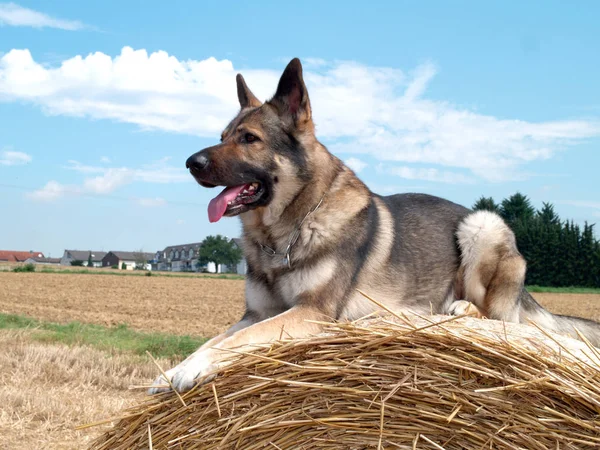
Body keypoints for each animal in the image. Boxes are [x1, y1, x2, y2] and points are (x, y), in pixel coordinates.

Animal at [150, 57, 600, 394]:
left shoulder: (311, 313)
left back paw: (462, 308)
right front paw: (174, 370)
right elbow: (215, 338)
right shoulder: (256, 313)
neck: (287, 231)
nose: (191, 163)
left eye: (248, 139)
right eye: (222, 135)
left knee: (499, 318)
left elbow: (235, 342)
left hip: (482, 226)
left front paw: (190, 371)